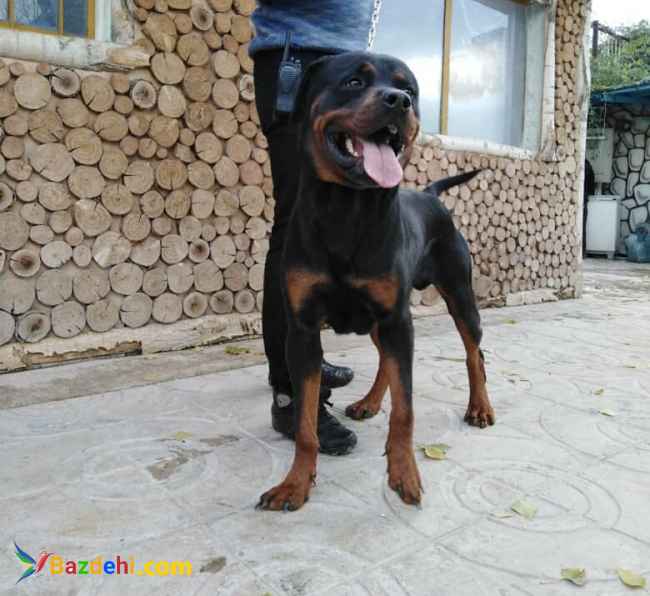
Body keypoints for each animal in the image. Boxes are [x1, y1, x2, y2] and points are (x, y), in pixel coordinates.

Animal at [257, 51, 495, 511]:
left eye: (411, 90)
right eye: (353, 81)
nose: (399, 101)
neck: (347, 210)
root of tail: (431, 195)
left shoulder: (398, 319)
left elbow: (406, 410)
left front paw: (404, 473)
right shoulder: (303, 331)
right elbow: (306, 424)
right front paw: (295, 483)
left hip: (458, 295)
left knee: (474, 354)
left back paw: (479, 408)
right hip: (375, 322)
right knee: (387, 360)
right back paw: (368, 402)